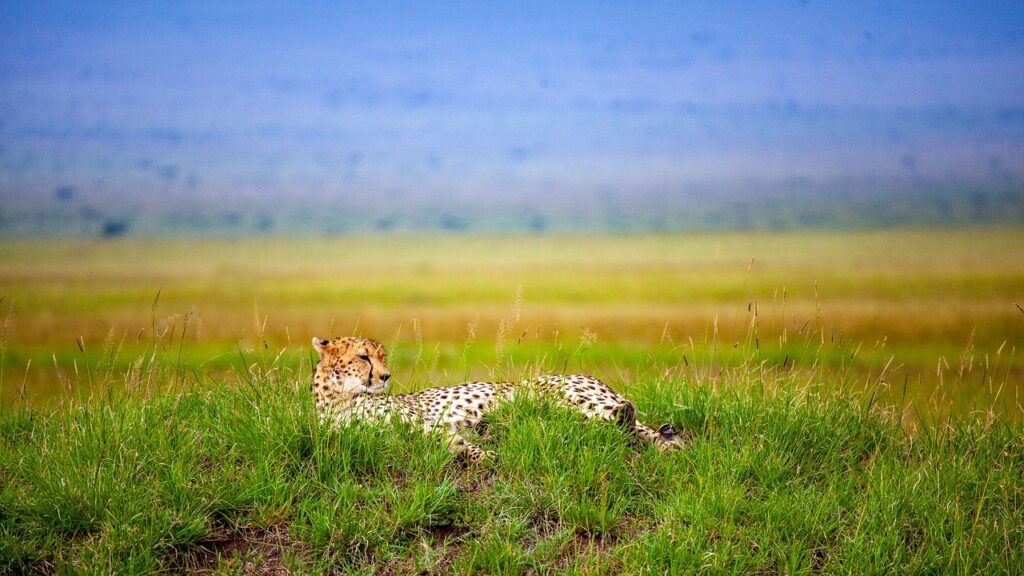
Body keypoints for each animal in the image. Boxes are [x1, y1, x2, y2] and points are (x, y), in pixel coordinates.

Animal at [307, 334, 684, 459]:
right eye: (363, 357)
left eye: (382, 356)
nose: (385, 376)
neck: (336, 400)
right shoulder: (408, 434)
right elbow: (454, 445)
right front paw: (482, 454)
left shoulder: (422, 424)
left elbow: (454, 442)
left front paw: (485, 455)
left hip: (559, 395)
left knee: (620, 418)